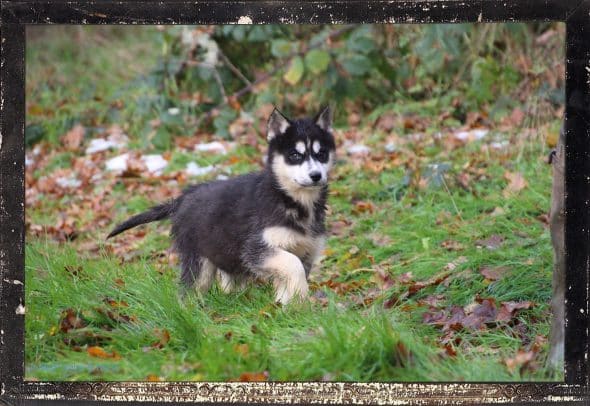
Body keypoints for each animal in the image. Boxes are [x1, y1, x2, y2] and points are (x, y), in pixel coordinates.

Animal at [107, 106, 338, 302]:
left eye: (321, 153)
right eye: (295, 155)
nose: (316, 176)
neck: (291, 200)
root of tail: (183, 197)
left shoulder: (306, 250)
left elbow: (291, 275)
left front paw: (288, 306)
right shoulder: (256, 248)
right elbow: (293, 266)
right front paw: (301, 297)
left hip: (226, 254)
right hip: (198, 260)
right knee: (189, 290)